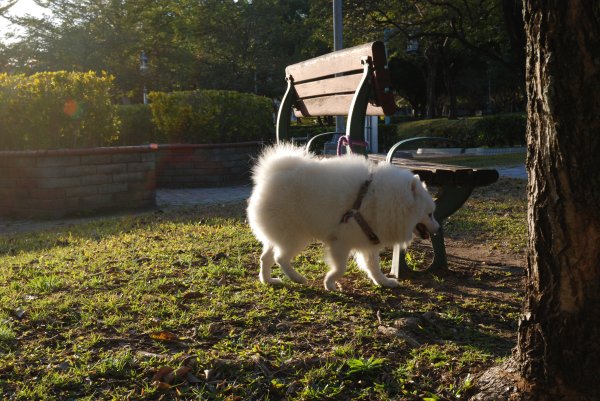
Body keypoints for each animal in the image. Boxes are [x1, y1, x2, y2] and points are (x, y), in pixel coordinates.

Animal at [246, 144, 438, 290]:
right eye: (430, 214)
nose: (438, 228)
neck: (381, 200)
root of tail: (270, 177)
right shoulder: (341, 242)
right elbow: (340, 268)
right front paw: (330, 284)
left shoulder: (367, 242)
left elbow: (373, 267)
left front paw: (384, 282)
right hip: (295, 236)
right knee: (280, 258)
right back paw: (297, 278)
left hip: (280, 236)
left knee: (265, 257)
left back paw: (268, 280)